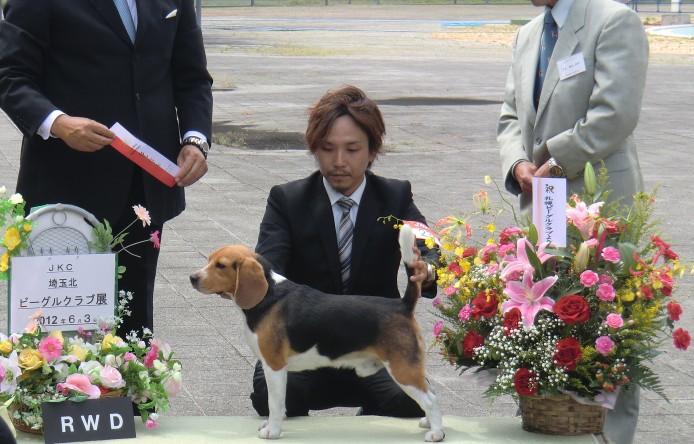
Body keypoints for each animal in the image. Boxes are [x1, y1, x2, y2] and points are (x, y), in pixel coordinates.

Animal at [189, 227, 446, 442]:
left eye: (221, 265)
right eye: (209, 260)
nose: (192, 278)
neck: (267, 295)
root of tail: (402, 305)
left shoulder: (274, 367)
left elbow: (275, 404)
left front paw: (272, 431)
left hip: (402, 368)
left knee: (432, 400)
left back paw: (436, 433)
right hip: (408, 367)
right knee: (431, 393)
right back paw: (429, 423)